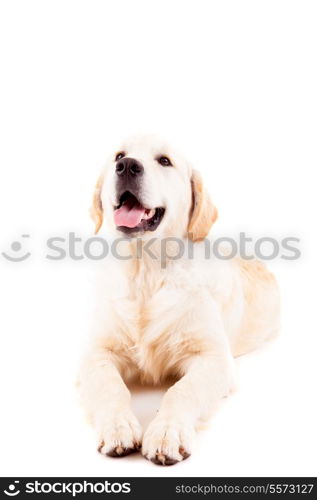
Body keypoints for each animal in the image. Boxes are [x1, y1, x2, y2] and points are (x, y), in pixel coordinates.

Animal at [79, 135, 278, 466]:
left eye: (164, 161)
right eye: (119, 156)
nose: (127, 166)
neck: (145, 271)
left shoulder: (213, 359)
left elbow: (181, 391)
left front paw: (166, 434)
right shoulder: (96, 354)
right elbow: (111, 388)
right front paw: (118, 427)